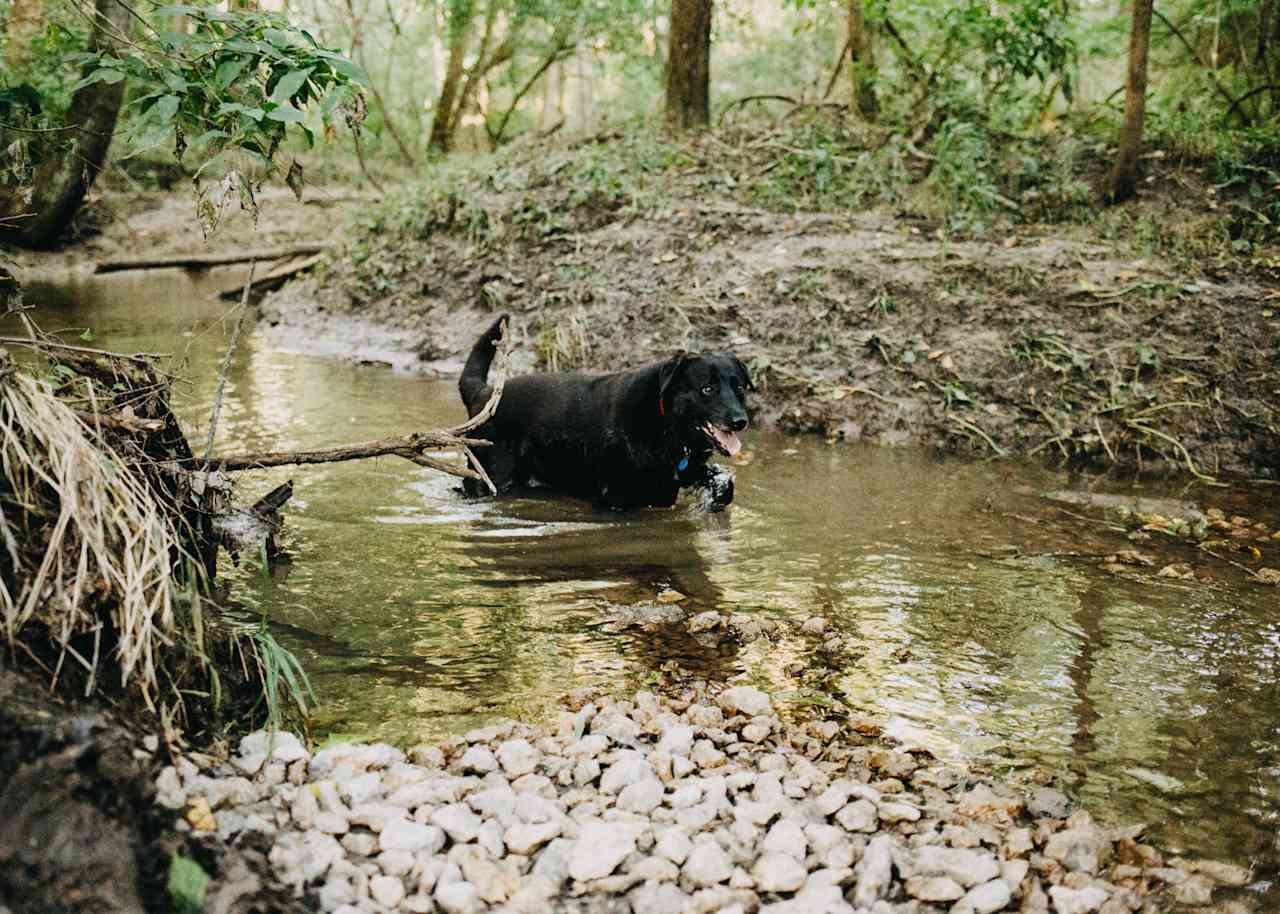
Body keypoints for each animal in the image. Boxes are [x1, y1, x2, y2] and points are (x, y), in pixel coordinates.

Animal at [458, 313, 747, 509]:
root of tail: (483, 393)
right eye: (707, 389)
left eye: (741, 388)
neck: (663, 422)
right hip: (494, 478)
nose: (740, 421)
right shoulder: (616, 499)